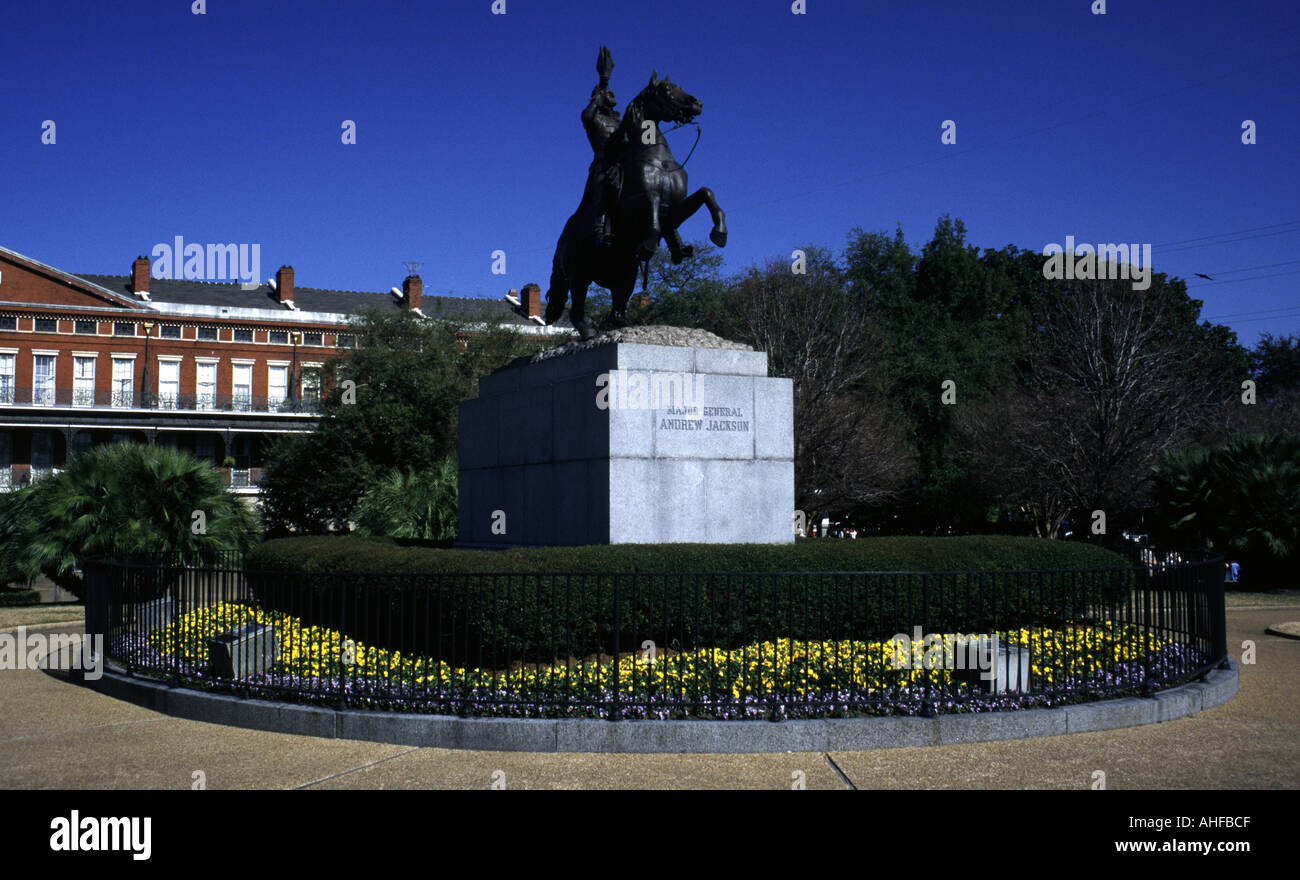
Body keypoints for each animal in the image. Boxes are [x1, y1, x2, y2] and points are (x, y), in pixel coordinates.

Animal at [543, 70, 728, 340]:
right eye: (665, 90)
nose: (697, 103)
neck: (657, 160)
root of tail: (561, 239)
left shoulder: (673, 213)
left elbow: (706, 193)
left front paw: (719, 233)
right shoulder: (631, 210)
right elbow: (651, 199)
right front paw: (649, 243)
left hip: (625, 275)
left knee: (616, 311)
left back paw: (628, 327)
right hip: (580, 274)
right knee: (578, 309)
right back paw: (589, 332)